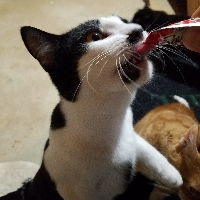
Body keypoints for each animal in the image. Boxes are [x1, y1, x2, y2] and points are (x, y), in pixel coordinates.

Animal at [1, 16, 183, 200]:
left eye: (125, 21)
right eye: (94, 36)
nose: (137, 30)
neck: (110, 117)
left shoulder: (128, 131)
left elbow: (144, 147)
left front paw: (171, 174)